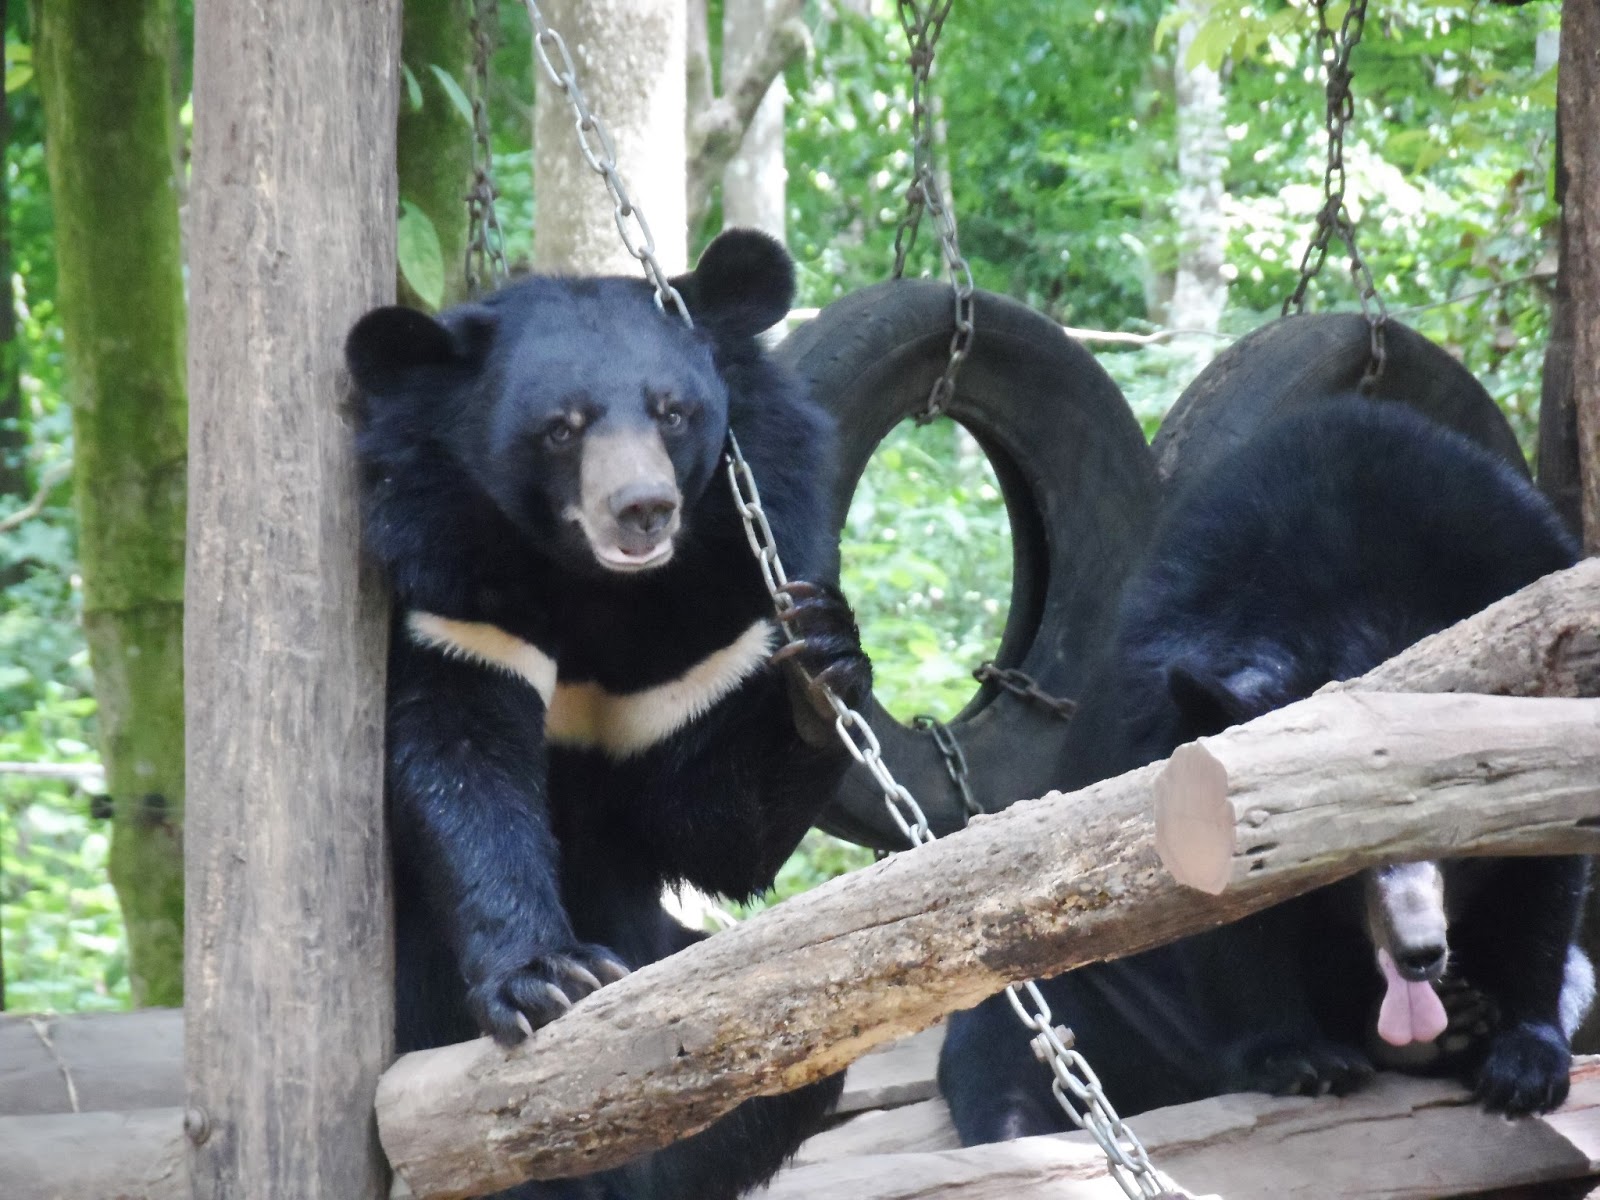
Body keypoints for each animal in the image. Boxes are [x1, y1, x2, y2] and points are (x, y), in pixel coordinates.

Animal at [344, 229, 871, 1200]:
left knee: (783, 1065)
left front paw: (822, 660)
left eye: (673, 412)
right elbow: (459, 766)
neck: (596, 589)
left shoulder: (709, 622)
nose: (643, 510)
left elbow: (710, 825)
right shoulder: (452, 584)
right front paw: (546, 980)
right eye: (562, 427)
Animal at [938, 396, 1591, 1144]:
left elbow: (1548, 874)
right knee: (1007, 1041)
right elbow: (1211, 895)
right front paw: (1300, 1058)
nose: (1421, 952)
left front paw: (1522, 1060)